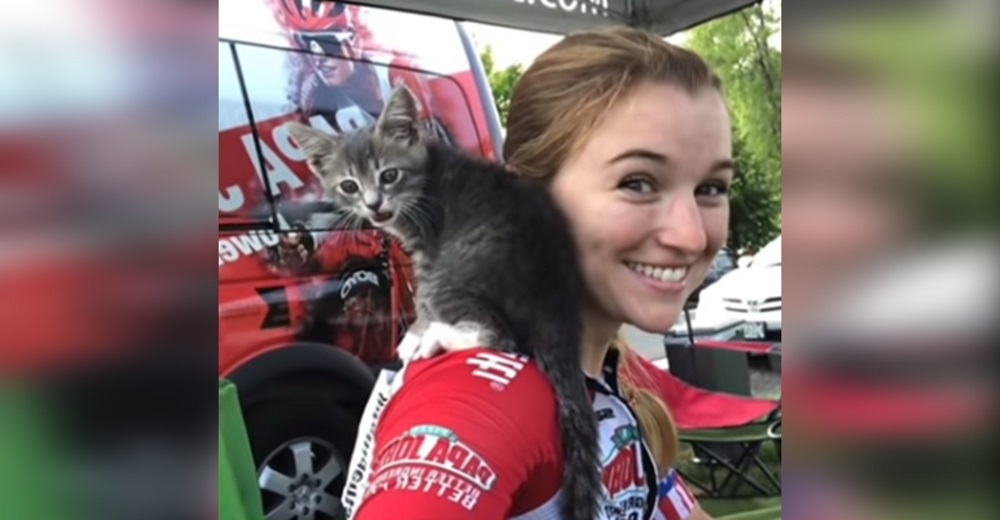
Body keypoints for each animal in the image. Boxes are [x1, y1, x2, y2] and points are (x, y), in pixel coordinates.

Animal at [288, 86, 600, 520]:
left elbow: (421, 301)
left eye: (389, 175)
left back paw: (437, 337)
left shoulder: (427, 251)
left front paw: (418, 331)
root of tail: (555, 300)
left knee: (500, 336)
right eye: (349, 185)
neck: (425, 176)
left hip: (451, 274)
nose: (374, 205)